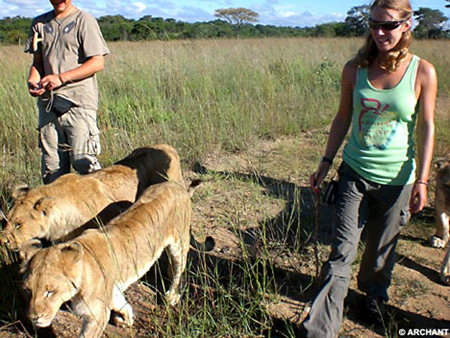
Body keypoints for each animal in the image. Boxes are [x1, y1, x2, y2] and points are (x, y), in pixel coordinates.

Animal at [21, 181, 196, 338]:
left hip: (179, 244)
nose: (34, 318)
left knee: (179, 270)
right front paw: (126, 319)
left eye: (50, 291)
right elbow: (120, 303)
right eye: (28, 290)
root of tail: (177, 186)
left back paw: (172, 296)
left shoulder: (97, 315)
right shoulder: (112, 290)